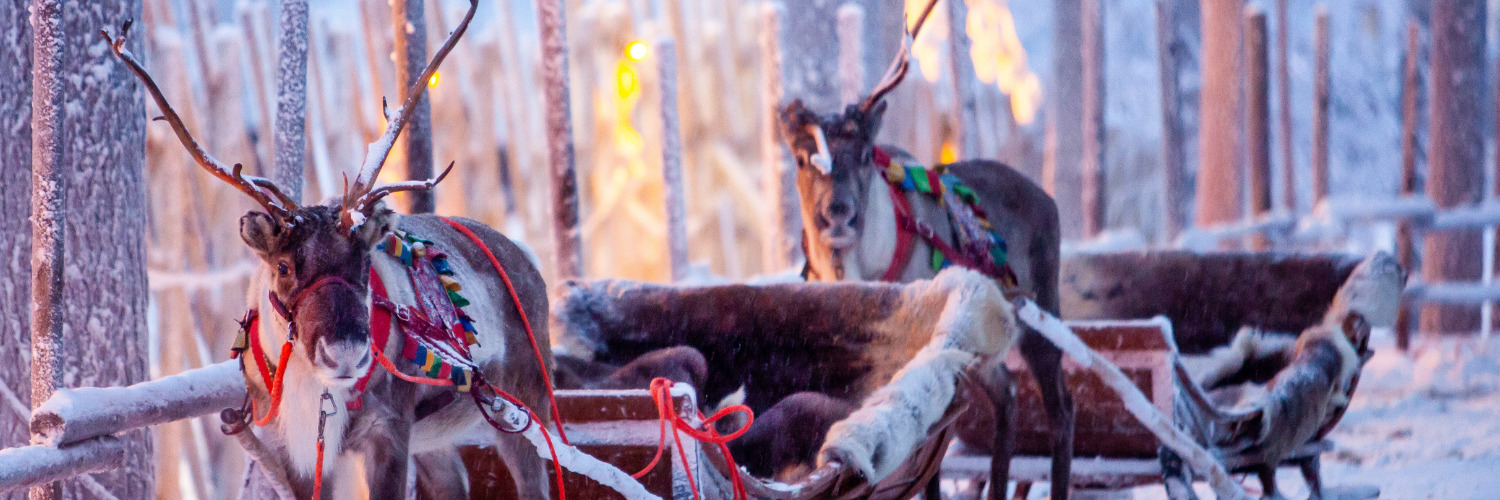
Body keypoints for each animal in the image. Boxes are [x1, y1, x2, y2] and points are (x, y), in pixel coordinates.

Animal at [103, 2, 557, 498]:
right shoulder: (292, 445)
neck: (312, 387)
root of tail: (525, 257)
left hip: (524, 406)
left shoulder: (388, 430)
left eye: (363, 263)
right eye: (283, 266)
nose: (344, 354)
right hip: (437, 437)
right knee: (454, 482)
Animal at [776, 1, 1073, 498]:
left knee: (1062, 408)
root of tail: (1048, 199)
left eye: (865, 154)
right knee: (1009, 394)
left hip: (1040, 315)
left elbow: (930, 451)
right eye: (801, 158)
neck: (858, 267)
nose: (838, 213)